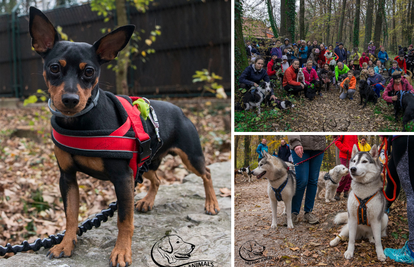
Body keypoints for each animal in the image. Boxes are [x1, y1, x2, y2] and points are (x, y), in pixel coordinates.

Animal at [29, 6, 220, 267]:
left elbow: (124, 220)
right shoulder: (67, 177)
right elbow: (71, 216)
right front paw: (65, 244)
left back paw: (211, 203)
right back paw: (148, 201)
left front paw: (121, 252)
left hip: (188, 158)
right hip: (143, 164)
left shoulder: (122, 178)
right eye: (54, 68)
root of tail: (179, 109)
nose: (69, 100)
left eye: (89, 71)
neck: (80, 122)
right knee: (157, 179)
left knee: (207, 173)